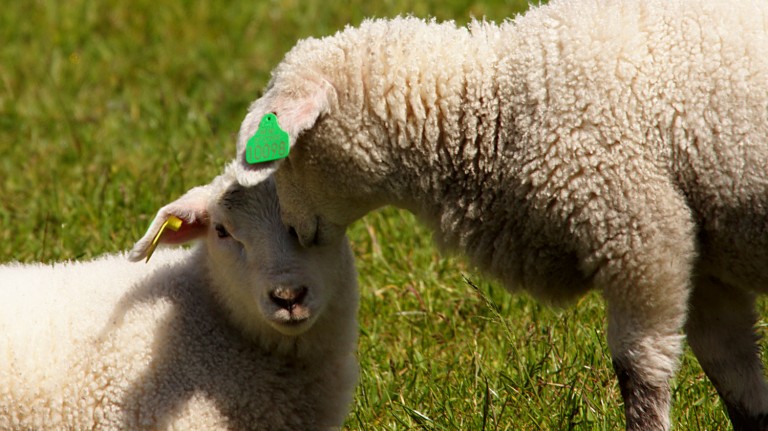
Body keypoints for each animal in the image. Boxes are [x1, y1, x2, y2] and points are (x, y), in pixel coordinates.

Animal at [231, 1, 768, 429]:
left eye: (288, 154)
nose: (294, 232)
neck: (499, 106)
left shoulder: (641, 235)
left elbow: (641, 373)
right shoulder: (700, 262)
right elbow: (735, 377)